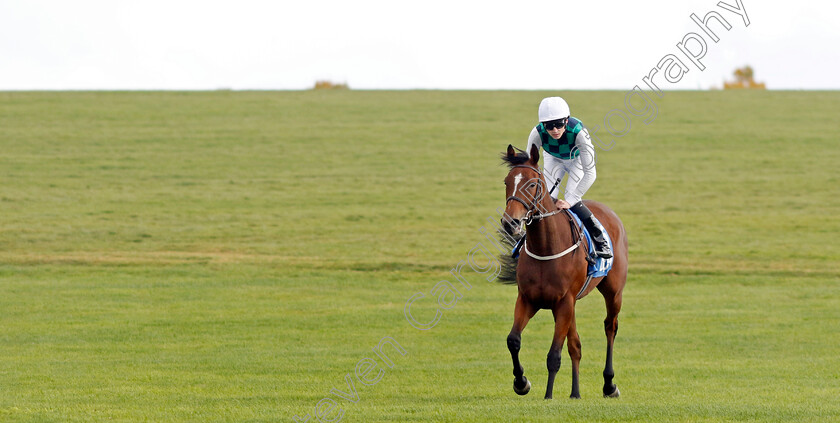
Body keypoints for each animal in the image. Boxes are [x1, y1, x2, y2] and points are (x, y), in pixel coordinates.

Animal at [496, 144, 628, 400]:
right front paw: (521, 382)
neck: (546, 246)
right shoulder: (528, 299)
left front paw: (548, 396)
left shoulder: (564, 302)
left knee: (610, 327)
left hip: (613, 292)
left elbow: (553, 355)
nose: (510, 222)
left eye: (532, 184)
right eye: (507, 182)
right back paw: (575, 393)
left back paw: (609, 384)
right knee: (575, 345)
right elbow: (513, 340)